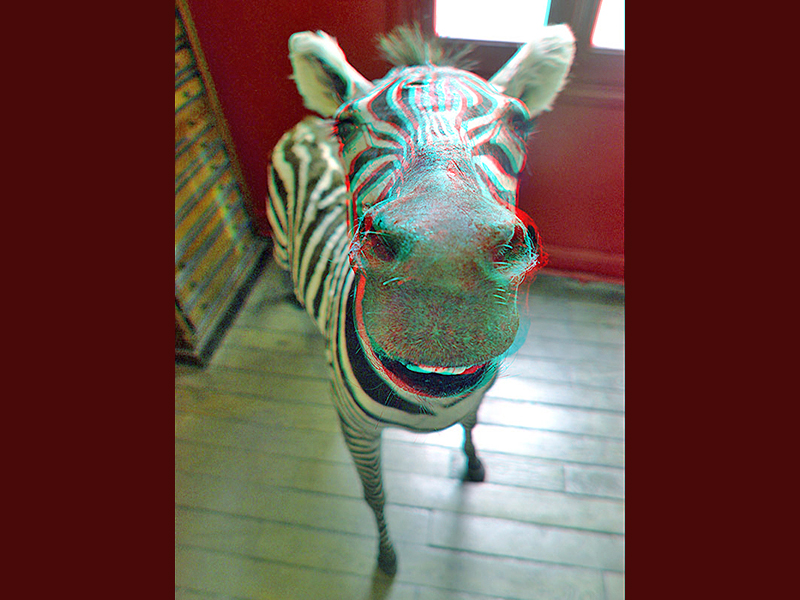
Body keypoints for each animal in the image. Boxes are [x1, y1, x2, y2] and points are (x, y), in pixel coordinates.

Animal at [266, 24, 575, 576]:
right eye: (348, 125)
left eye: (520, 122)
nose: (444, 267)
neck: (433, 392)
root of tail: (307, 122)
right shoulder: (356, 429)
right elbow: (375, 495)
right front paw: (387, 558)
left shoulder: (475, 399)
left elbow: (471, 426)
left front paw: (473, 464)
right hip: (281, 243)